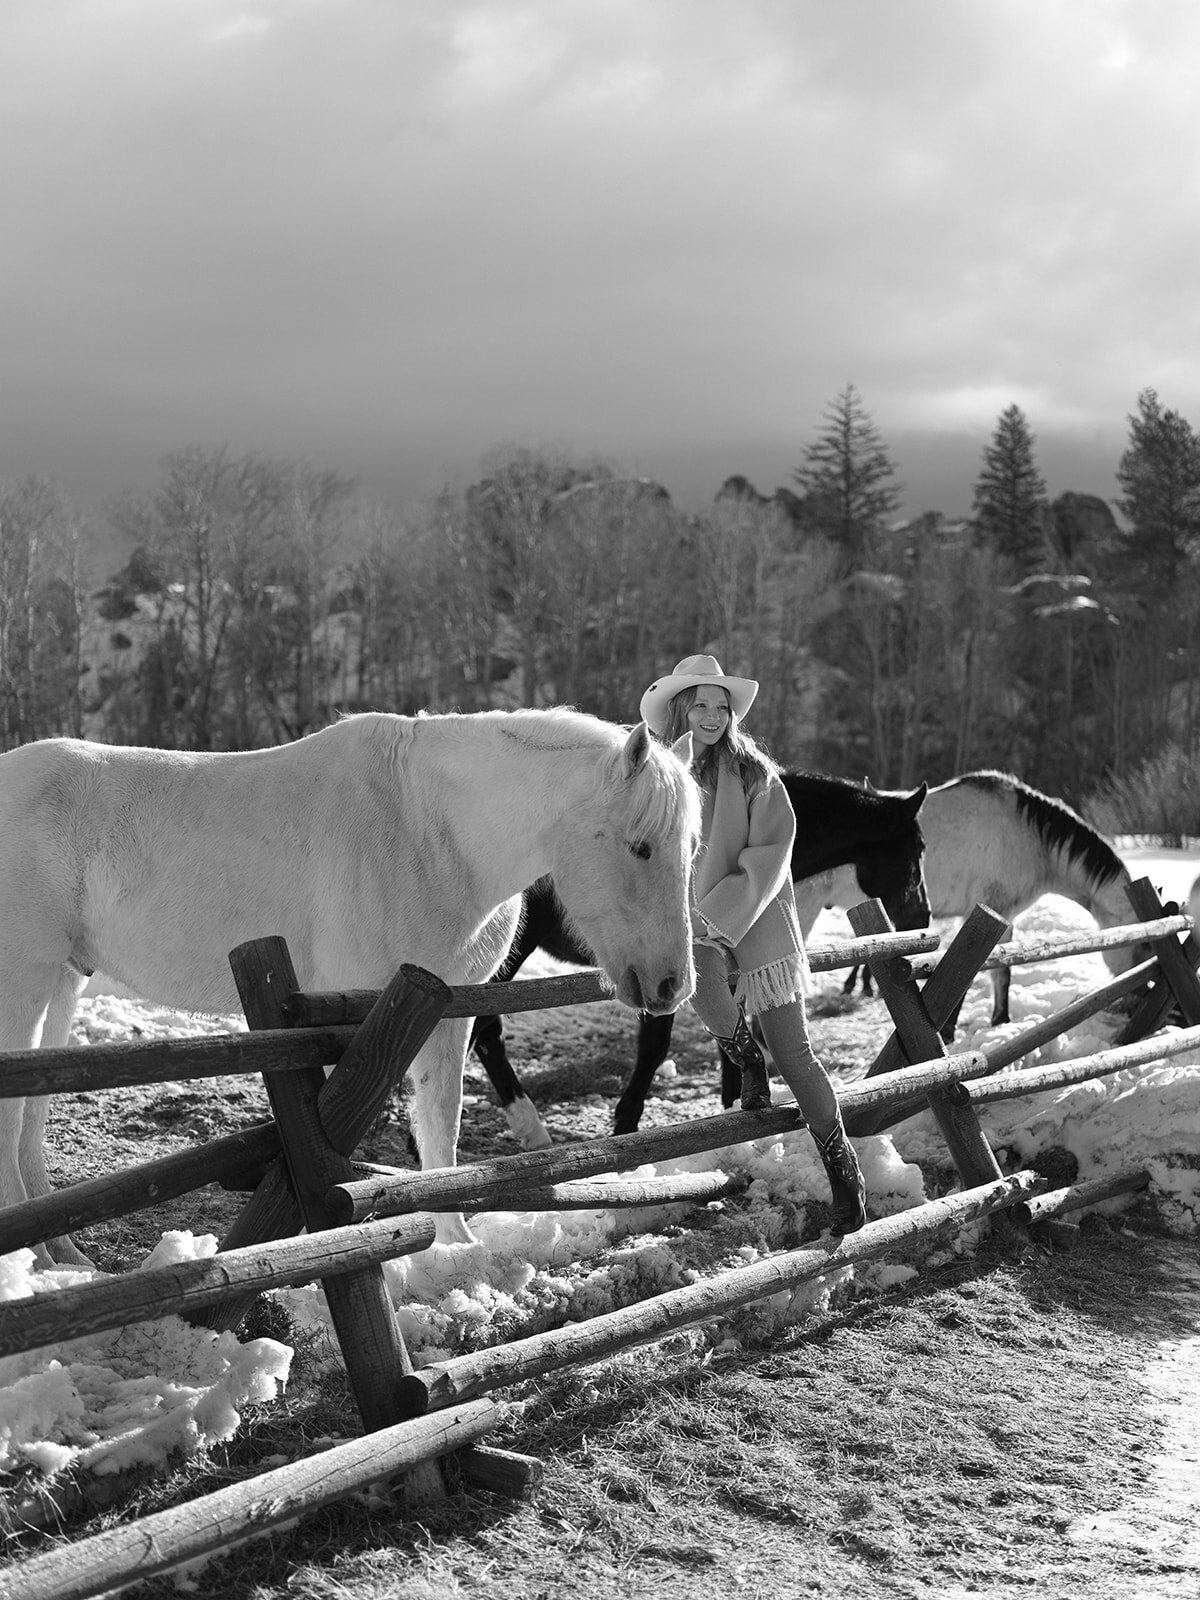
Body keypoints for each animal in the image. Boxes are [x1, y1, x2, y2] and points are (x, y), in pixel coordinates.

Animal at [0, 710, 704, 1260]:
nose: (672, 984)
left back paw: (66, 1259)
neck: (432, 835)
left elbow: (440, 1128)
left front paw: (456, 1250)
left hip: (62, 984)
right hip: (25, 987)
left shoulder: (447, 1010)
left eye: (691, 848)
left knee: (29, 1127)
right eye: (641, 846)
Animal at [470, 768, 928, 1145]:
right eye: (919, 848)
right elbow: (656, 1045)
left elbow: (733, 1027)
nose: (921, 915)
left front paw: (737, 1102)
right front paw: (627, 1120)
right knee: (482, 1027)